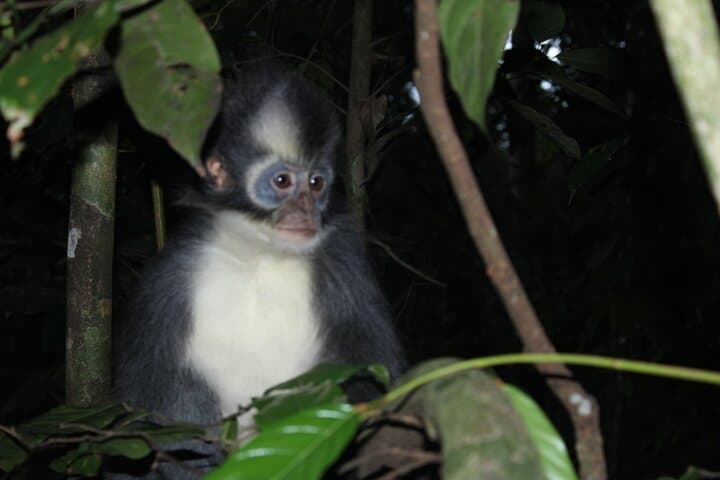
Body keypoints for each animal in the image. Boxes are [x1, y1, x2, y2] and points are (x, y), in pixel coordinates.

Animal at [108, 65, 404, 478]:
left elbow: (377, 376)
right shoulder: (168, 278)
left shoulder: (344, 258)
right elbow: (145, 411)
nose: (306, 212)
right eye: (282, 181)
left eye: (317, 183)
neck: (259, 255)